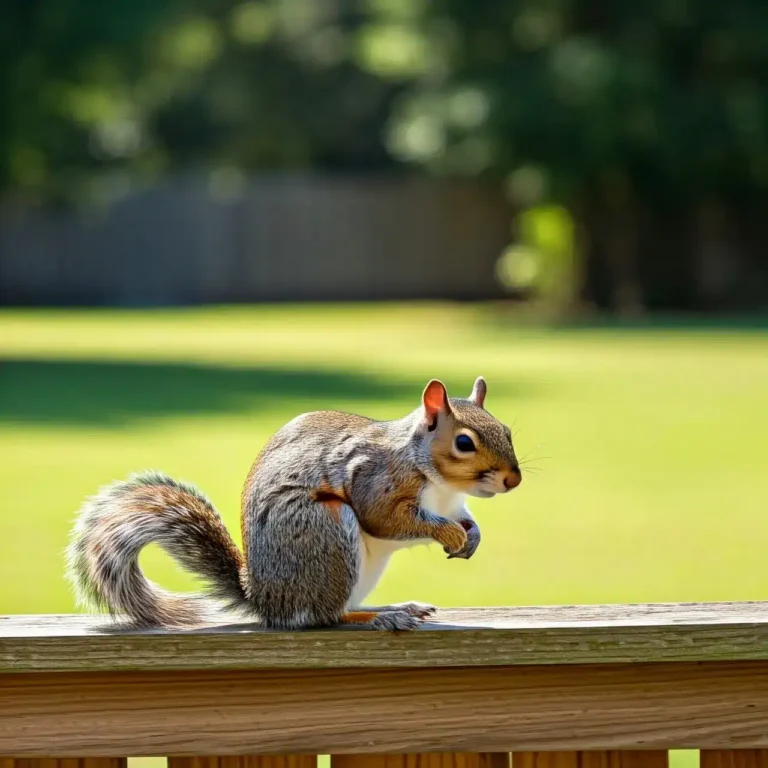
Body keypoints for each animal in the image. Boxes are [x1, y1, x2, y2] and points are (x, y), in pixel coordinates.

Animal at [66, 376, 522, 632]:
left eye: (507, 430)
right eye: (464, 443)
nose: (513, 480)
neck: (442, 485)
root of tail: (266, 598)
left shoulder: (452, 502)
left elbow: (464, 518)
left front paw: (471, 535)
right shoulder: (376, 479)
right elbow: (387, 519)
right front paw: (446, 532)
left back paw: (393, 606)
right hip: (327, 529)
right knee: (324, 616)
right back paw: (378, 618)